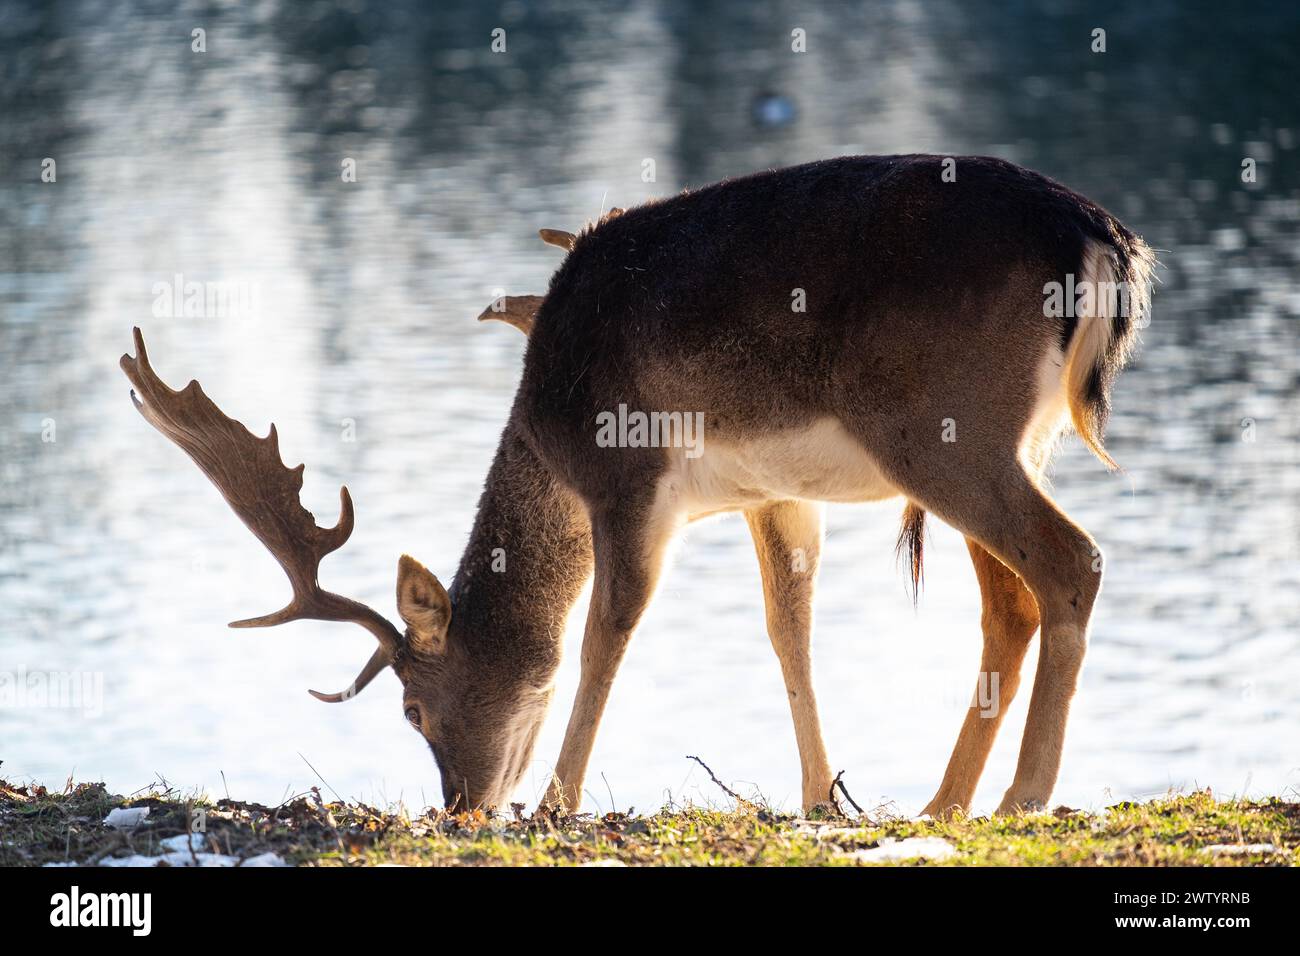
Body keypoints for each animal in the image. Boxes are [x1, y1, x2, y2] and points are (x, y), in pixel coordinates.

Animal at [126, 153, 1154, 816]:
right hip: (1007, 443)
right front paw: (821, 799)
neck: (544, 425)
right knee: (1011, 603)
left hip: (946, 434)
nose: (461, 808)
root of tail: (1103, 241)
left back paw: (1025, 794)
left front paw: (557, 803)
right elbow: (789, 633)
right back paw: (943, 803)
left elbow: (601, 638)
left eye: (412, 708)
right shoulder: (772, 493)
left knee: (1074, 561)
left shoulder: (626, 476)